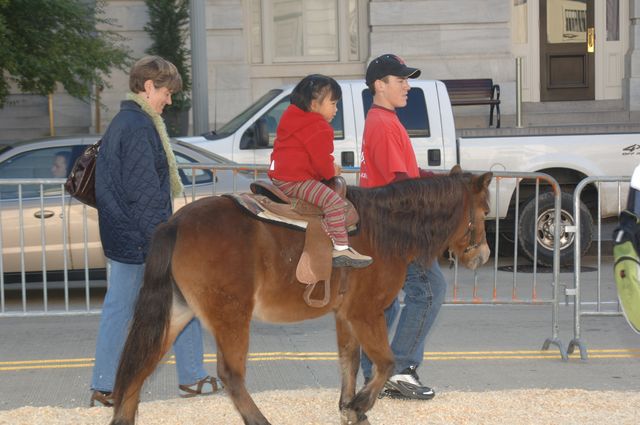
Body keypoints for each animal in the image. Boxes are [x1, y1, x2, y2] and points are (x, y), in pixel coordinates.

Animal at [110, 167, 492, 422]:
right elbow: (385, 362)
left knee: (141, 365)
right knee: (231, 376)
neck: (381, 228)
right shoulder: (365, 313)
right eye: (486, 211)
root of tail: (175, 223)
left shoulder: (345, 316)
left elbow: (349, 361)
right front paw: (360, 405)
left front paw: (350, 408)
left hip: (177, 314)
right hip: (232, 317)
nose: (485, 255)